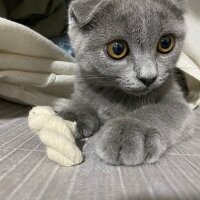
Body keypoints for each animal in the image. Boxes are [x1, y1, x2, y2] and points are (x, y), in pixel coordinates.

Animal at [61, 0, 195, 166]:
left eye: (165, 43)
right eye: (117, 49)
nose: (148, 77)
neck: (119, 96)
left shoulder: (178, 101)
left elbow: (159, 110)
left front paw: (129, 131)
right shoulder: (82, 85)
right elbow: (79, 101)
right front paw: (70, 116)